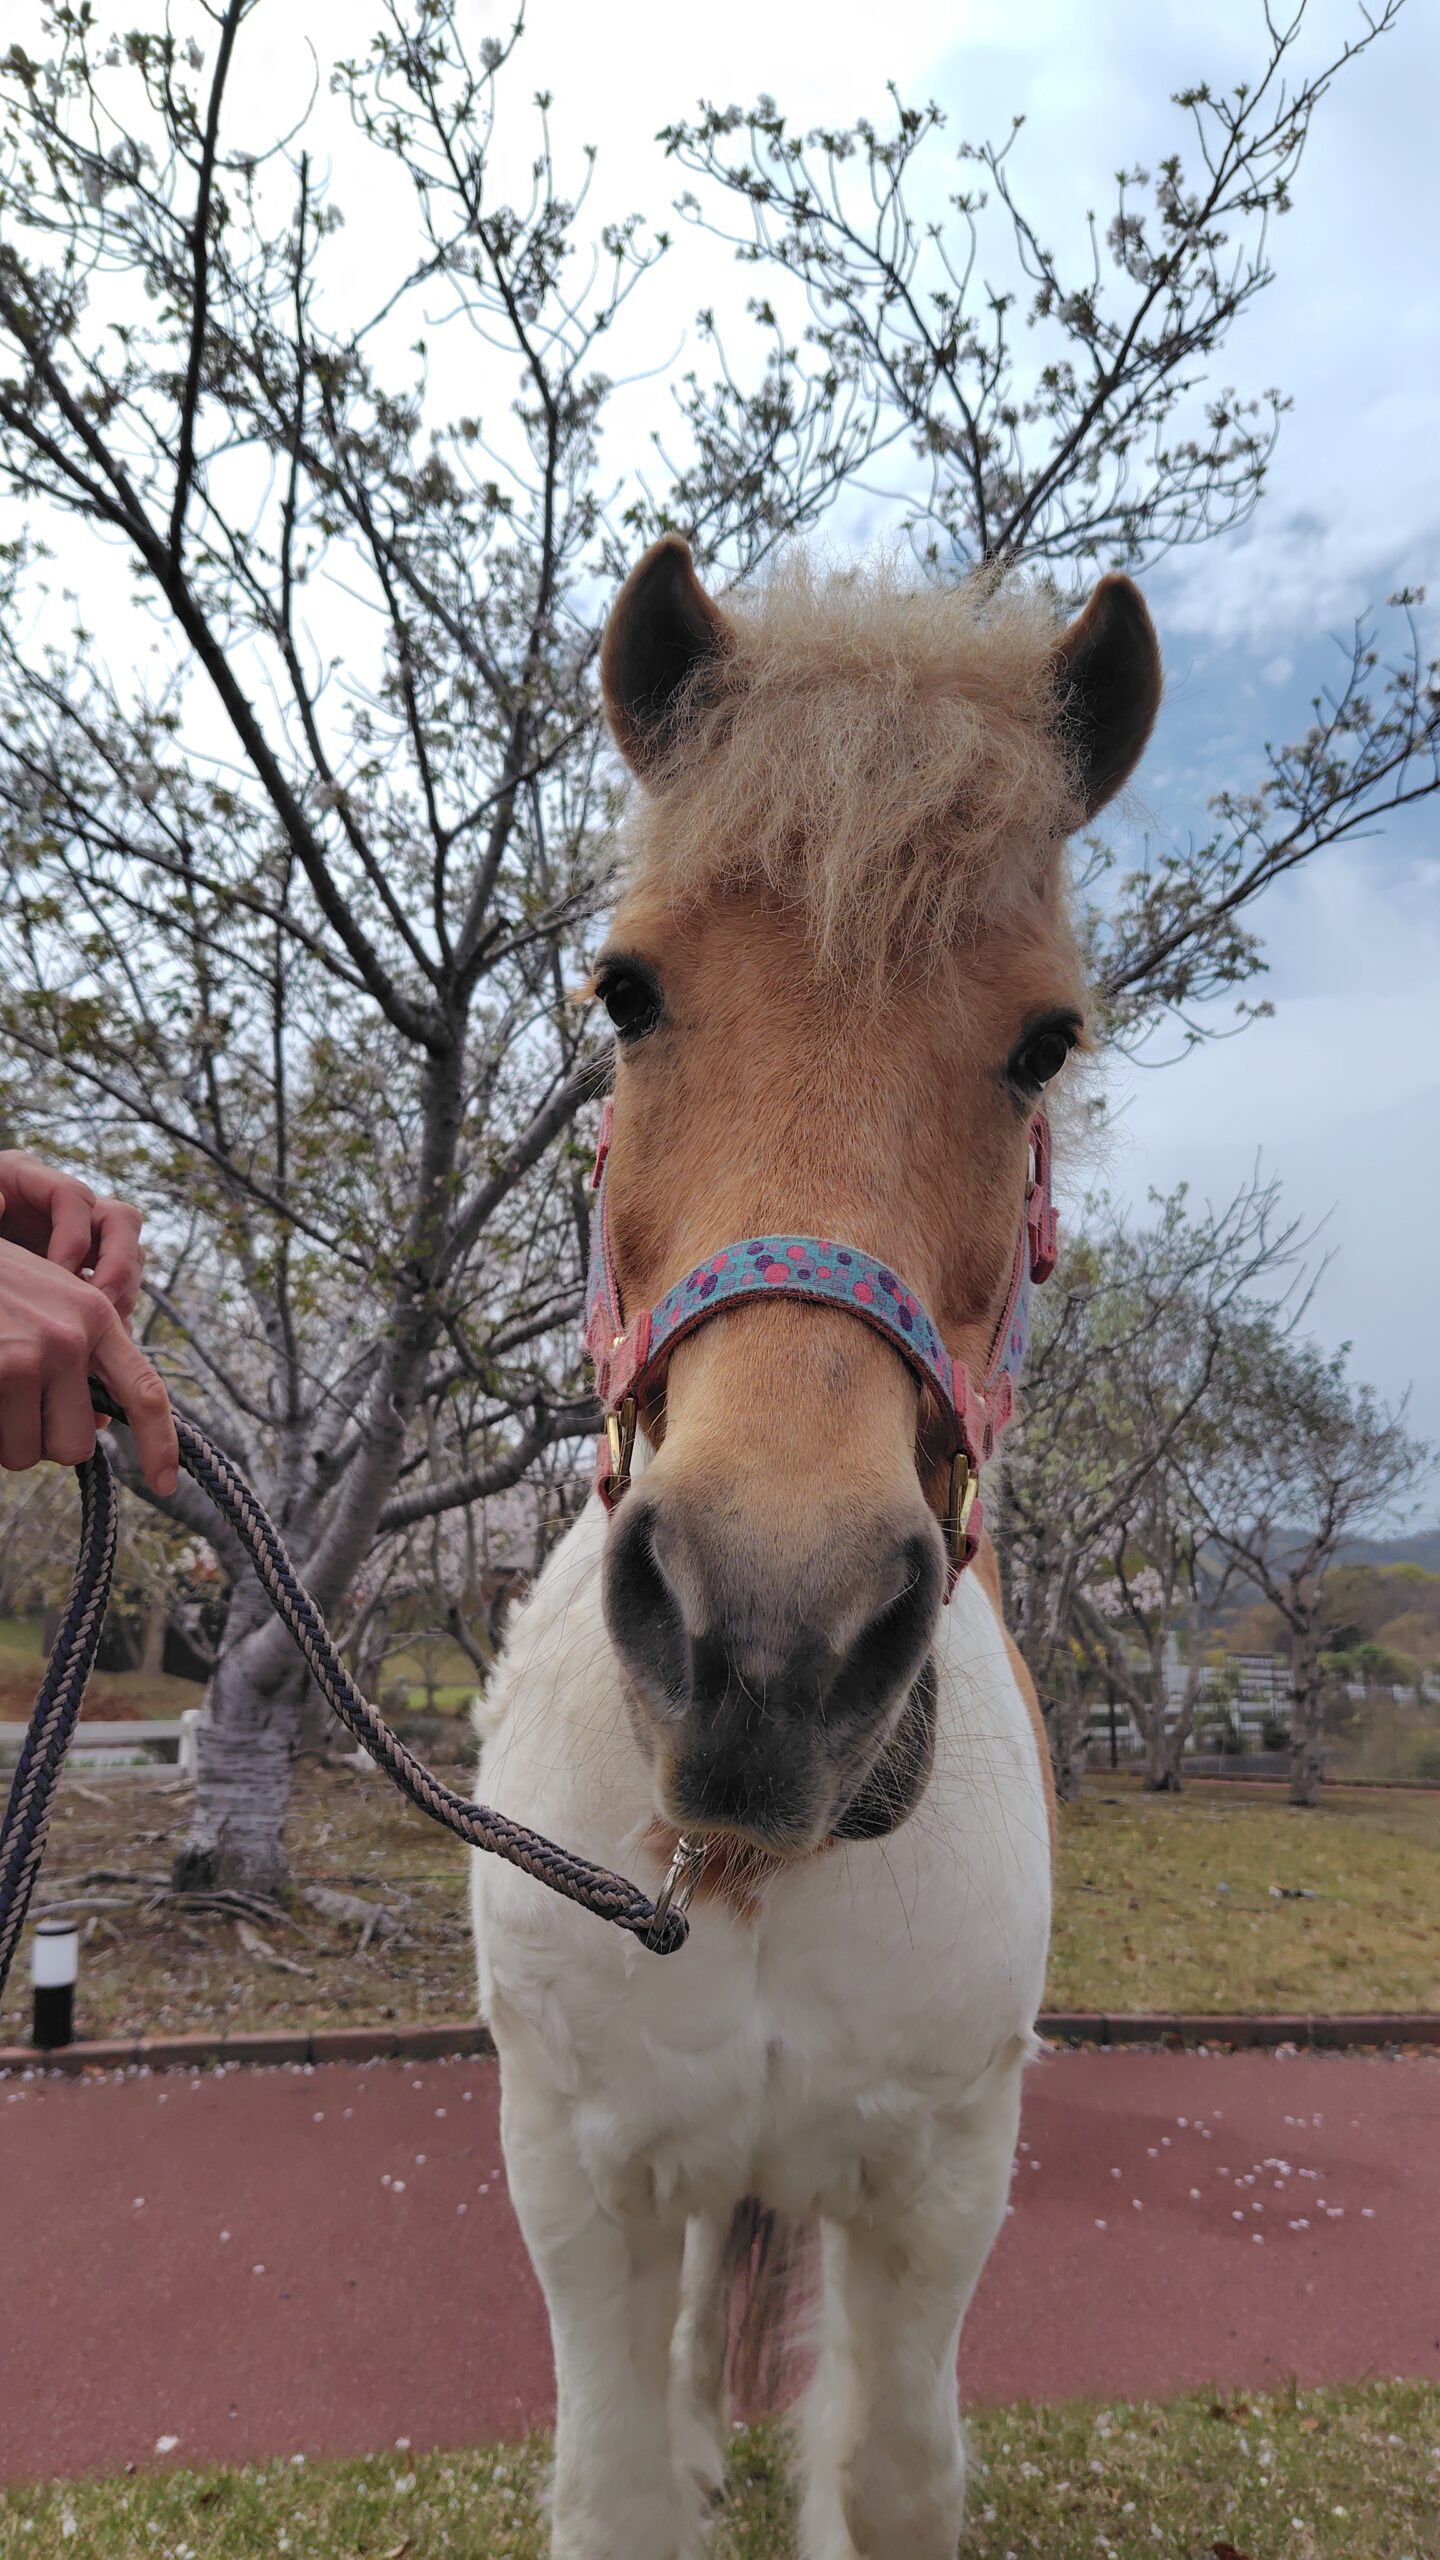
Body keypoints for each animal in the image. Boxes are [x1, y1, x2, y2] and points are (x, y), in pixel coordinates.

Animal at [470, 537, 1161, 2560]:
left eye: (1042, 1042)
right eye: (627, 992)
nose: (769, 1640)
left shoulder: (934, 2192)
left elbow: (894, 2470)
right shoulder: (584, 2186)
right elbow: (623, 2483)